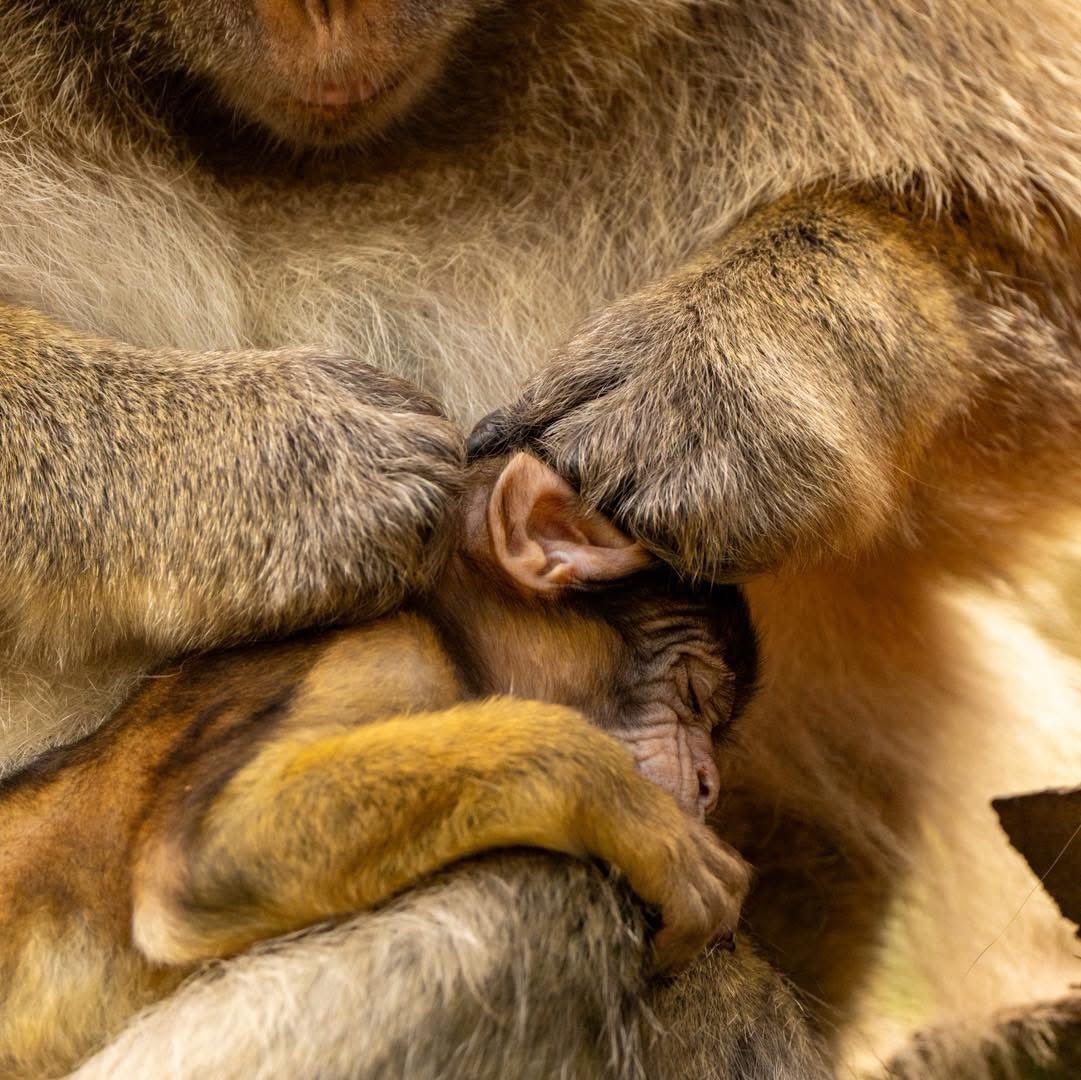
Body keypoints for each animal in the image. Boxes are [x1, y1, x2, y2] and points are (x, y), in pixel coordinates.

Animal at [0, 451, 757, 1077]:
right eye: (695, 695)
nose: (709, 787)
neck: (447, 629)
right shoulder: (385, 652)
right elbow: (204, 859)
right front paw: (624, 805)